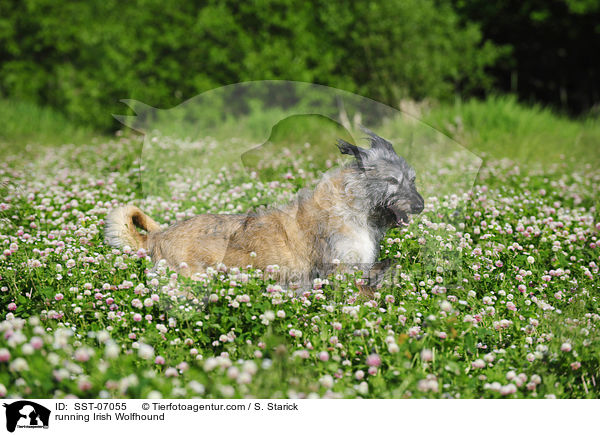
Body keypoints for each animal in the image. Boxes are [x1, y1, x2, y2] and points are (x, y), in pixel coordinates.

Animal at [104, 131, 422, 292]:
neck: (355, 206)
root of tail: (157, 237)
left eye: (413, 178)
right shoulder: (341, 272)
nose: (420, 206)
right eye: (392, 181)